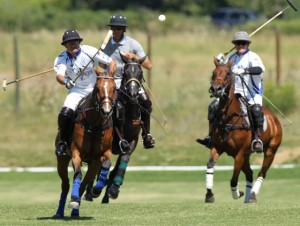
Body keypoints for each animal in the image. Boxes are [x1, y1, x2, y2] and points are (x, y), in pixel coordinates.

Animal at [53, 68, 115, 218]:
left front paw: (96, 191)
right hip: (62, 160)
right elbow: (78, 174)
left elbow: (106, 164)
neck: (95, 123)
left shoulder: (103, 154)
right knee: (66, 185)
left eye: (115, 88)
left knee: (83, 183)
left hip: (93, 164)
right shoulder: (76, 152)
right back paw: (60, 211)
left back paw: (76, 209)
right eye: (97, 88)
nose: (106, 111)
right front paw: (74, 200)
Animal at [205, 58, 282, 203]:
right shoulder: (217, 147)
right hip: (247, 154)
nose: (216, 89)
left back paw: (252, 196)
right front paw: (209, 195)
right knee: (250, 173)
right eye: (213, 73)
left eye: (228, 73)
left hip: (271, 150)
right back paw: (247, 197)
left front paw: (237, 193)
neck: (228, 118)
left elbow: (234, 179)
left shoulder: (239, 154)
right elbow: (210, 165)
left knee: (261, 173)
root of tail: (275, 119)